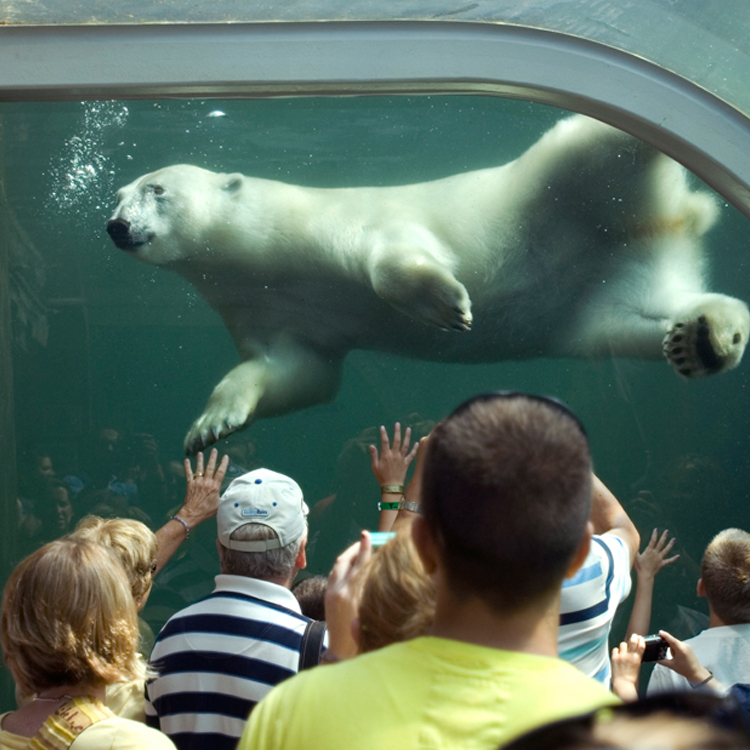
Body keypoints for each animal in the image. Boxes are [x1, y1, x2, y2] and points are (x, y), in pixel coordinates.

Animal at [106, 111, 750, 452]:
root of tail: (677, 212)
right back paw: (705, 338)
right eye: (117, 194)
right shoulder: (267, 308)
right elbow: (297, 371)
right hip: (602, 290)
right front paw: (209, 426)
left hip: (549, 183)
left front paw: (449, 304)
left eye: (156, 188)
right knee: (639, 316)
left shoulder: (344, 226)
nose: (115, 225)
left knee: (595, 139)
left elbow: (391, 260)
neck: (268, 249)